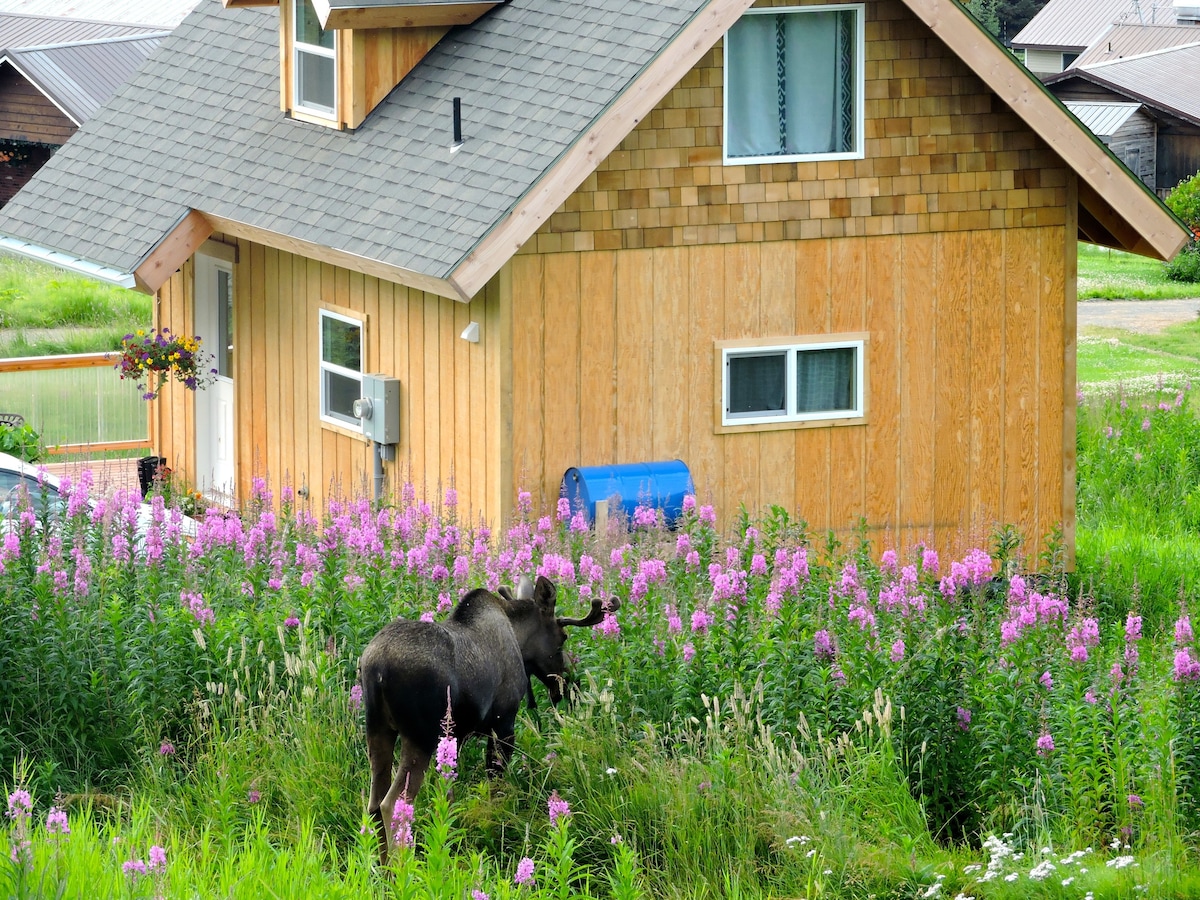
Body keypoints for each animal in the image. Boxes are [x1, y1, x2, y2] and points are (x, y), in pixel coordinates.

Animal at [357, 573, 614, 864]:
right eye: (563, 637)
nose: (570, 685)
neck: (517, 636)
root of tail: (376, 667)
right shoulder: (503, 724)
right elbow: (495, 787)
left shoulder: (457, 737)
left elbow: (450, 794)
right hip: (420, 736)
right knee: (393, 803)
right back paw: (401, 867)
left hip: (377, 729)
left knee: (374, 802)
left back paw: (383, 867)